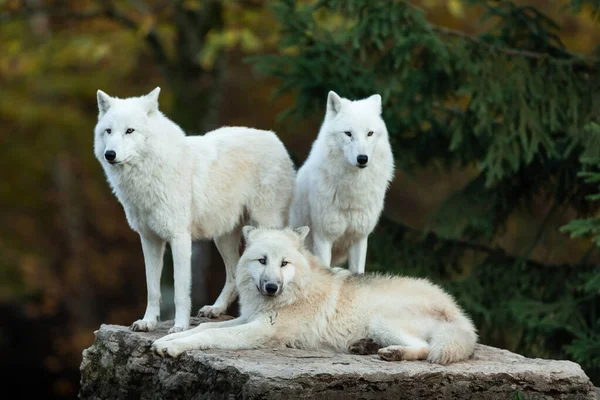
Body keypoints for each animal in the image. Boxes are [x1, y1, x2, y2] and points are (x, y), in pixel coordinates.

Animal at [93, 88, 296, 334]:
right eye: (108, 131)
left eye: (129, 131)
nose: (109, 154)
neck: (147, 174)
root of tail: (273, 137)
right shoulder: (149, 239)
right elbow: (152, 288)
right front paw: (148, 322)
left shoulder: (179, 238)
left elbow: (180, 290)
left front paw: (180, 326)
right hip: (223, 237)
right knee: (233, 274)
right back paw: (215, 309)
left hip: (264, 225)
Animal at [151, 227, 478, 364]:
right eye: (262, 261)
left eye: (284, 263)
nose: (271, 287)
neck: (296, 291)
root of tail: (461, 315)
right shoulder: (249, 318)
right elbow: (206, 326)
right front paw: (168, 338)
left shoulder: (260, 330)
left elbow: (208, 335)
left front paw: (174, 346)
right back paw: (365, 347)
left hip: (381, 320)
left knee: (425, 348)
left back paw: (392, 353)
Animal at [290, 90, 396, 274]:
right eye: (348, 133)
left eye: (370, 133)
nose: (362, 159)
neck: (352, 191)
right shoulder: (323, 237)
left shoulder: (360, 238)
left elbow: (359, 273)